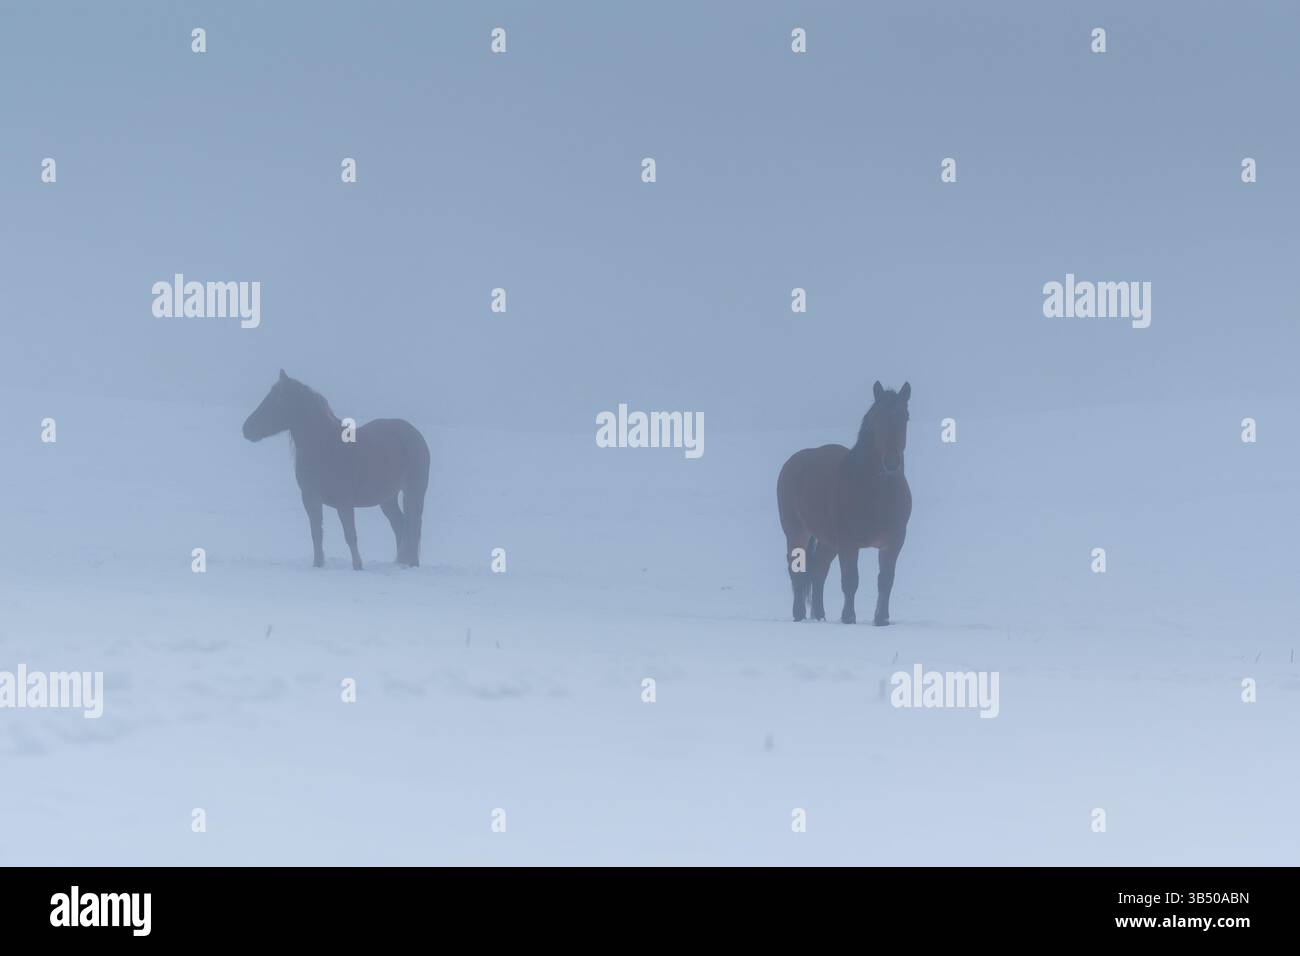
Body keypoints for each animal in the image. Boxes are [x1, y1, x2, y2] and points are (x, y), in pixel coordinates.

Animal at [242, 370, 430, 570]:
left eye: (276, 401)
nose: (246, 429)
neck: (325, 447)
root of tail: (414, 434)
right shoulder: (310, 499)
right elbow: (316, 534)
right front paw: (318, 564)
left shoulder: (344, 503)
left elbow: (350, 536)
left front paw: (358, 566)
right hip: (388, 498)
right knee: (400, 525)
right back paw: (400, 563)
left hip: (414, 492)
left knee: (413, 526)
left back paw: (412, 564)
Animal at [776, 381, 912, 625]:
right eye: (876, 418)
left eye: (905, 417)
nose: (891, 462)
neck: (878, 494)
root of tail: (792, 463)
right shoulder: (849, 543)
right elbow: (850, 581)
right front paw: (849, 618)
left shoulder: (894, 542)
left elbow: (886, 580)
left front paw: (881, 619)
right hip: (796, 531)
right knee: (797, 571)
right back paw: (799, 615)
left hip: (829, 541)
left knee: (819, 570)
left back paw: (820, 616)